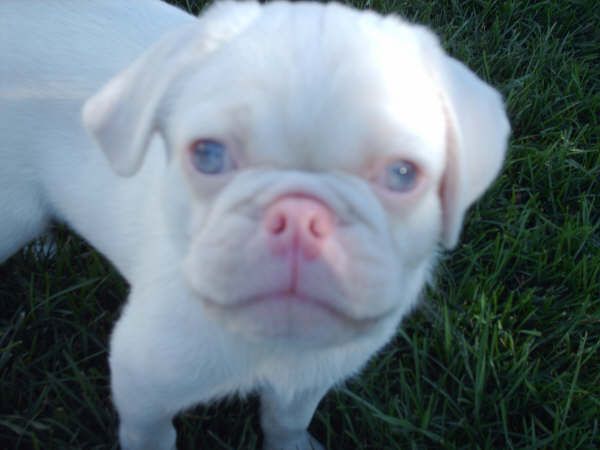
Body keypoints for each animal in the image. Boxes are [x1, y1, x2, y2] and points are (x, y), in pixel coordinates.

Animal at [0, 0, 510, 450]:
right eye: (207, 154)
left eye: (403, 174)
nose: (301, 217)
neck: (277, 342)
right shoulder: (142, 389)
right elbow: (155, 437)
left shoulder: (308, 380)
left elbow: (286, 420)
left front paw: (294, 445)